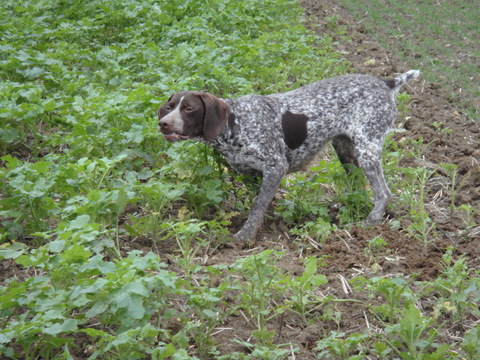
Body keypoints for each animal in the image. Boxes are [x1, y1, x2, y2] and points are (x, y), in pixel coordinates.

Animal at [158, 69, 420, 243]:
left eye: (189, 108)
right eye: (169, 107)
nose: (163, 124)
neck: (234, 124)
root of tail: (386, 82)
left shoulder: (275, 166)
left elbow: (257, 207)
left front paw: (245, 236)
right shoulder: (252, 174)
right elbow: (261, 203)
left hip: (367, 148)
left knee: (384, 193)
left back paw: (371, 223)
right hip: (345, 150)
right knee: (358, 185)